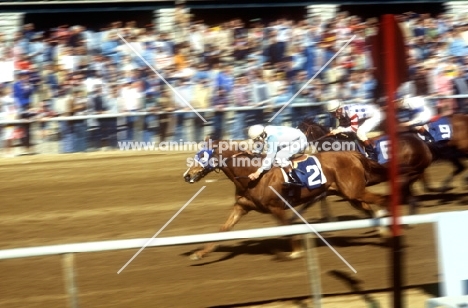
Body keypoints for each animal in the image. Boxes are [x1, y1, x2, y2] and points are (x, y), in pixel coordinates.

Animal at [185, 141, 390, 262]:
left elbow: (287, 227)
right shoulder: (242, 206)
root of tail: (352, 154)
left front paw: (296, 251)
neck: (251, 175)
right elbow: (223, 229)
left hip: (353, 190)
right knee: (369, 208)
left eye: (202, 155)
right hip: (350, 194)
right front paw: (200, 253)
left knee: (382, 199)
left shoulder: (276, 207)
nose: (187, 175)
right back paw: (382, 230)